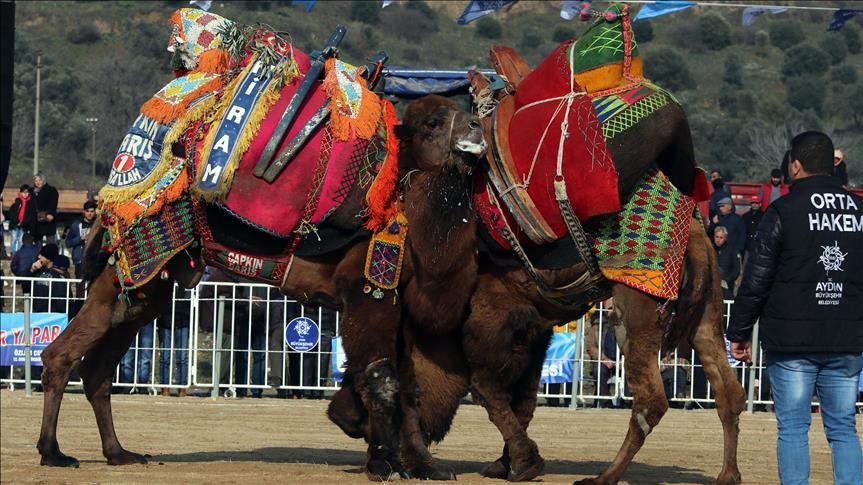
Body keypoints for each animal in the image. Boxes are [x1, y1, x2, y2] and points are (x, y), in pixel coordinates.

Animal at [37, 94, 482, 480]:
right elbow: (381, 378)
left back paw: (118, 453)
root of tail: (110, 206)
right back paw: (54, 452)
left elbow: (409, 387)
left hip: (143, 295)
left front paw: (426, 466)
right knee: (61, 356)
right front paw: (382, 463)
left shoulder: (398, 305)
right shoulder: (365, 290)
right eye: (433, 122)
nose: (476, 127)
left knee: (97, 369)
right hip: (120, 280)